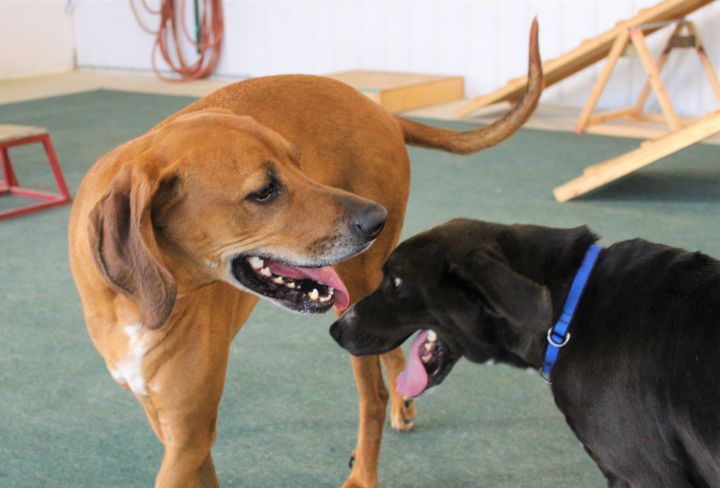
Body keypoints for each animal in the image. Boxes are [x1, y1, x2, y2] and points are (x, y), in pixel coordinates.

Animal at [69, 21, 540, 486]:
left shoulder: (189, 434)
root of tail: (383, 113)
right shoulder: (180, 433)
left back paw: (365, 469)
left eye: (297, 161)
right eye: (264, 191)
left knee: (372, 395)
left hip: (357, 289)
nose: (377, 218)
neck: (132, 303)